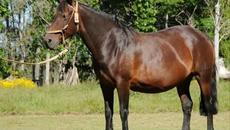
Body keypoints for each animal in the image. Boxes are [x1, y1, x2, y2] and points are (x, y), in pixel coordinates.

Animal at [44, 0, 217, 129]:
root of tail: (202, 37)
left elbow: (123, 112)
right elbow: (108, 112)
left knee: (208, 107)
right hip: (183, 81)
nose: (48, 40)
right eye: (55, 15)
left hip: (203, 77)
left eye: (64, 16)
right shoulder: (105, 85)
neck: (112, 44)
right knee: (187, 106)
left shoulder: (123, 84)